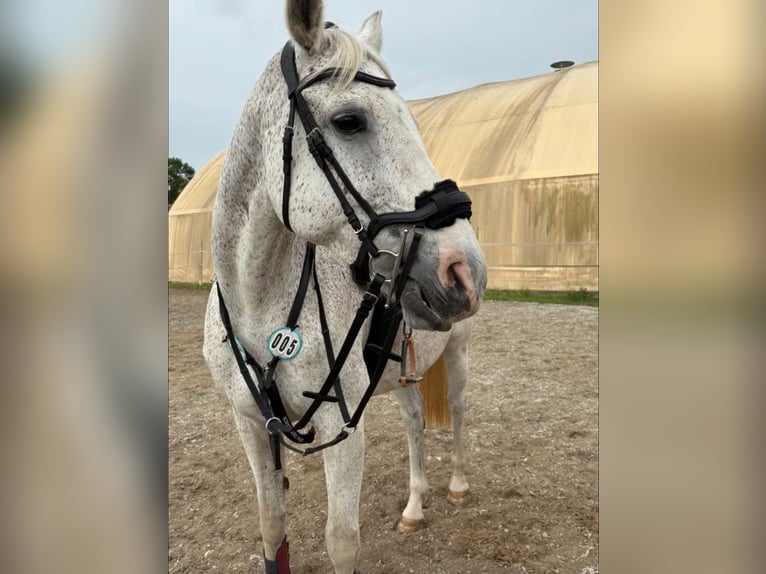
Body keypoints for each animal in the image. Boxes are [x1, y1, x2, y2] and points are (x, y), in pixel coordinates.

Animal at [202, 2, 487, 572]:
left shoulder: (343, 431)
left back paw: (457, 486)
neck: (259, 305)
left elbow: (341, 540)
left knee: (458, 412)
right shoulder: (251, 425)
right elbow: (272, 527)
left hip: (458, 352)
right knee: (416, 423)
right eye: (349, 121)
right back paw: (414, 508)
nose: (464, 269)